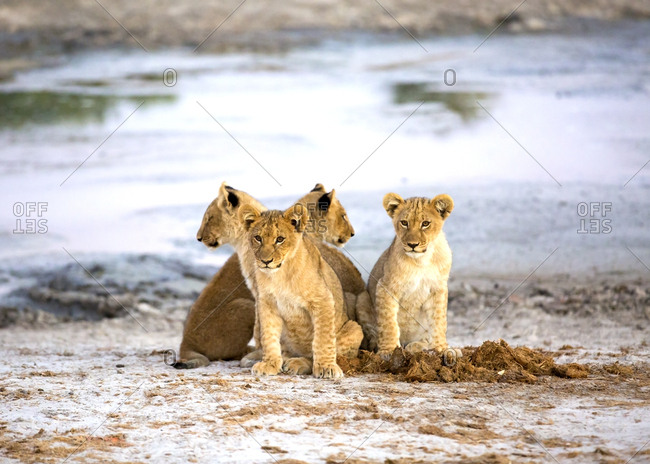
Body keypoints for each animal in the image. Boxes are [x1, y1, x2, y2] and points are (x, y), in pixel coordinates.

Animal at [239, 203, 363, 379]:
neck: (280, 275)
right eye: (258, 238)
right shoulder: (267, 302)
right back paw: (285, 360)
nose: (265, 261)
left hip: (354, 328)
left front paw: (326, 367)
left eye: (280, 239)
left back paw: (297, 364)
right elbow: (268, 336)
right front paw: (270, 364)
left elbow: (322, 339)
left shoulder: (323, 300)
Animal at [367, 192, 459, 360]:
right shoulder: (385, 286)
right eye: (404, 223)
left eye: (425, 223)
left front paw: (442, 349)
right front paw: (389, 351)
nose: (412, 245)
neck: (421, 261)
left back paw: (417, 346)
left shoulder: (438, 289)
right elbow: (389, 323)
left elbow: (439, 321)